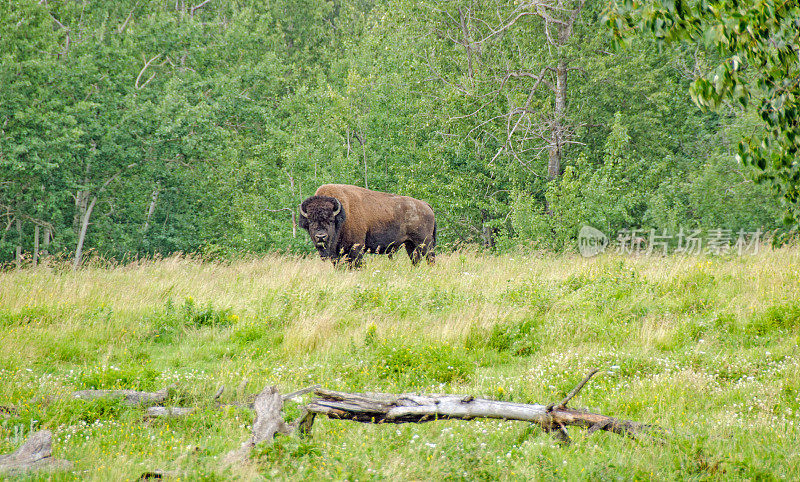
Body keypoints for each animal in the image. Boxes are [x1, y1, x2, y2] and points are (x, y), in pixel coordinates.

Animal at [300, 184, 438, 268]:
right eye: (310, 221)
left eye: (330, 220)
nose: (321, 237)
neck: (342, 215)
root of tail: (425, 204)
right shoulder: (337, 254)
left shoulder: (356, 247)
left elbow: (357, 264)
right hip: (410, 244)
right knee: (416, 260)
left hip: (424, 242)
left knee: (430, 258)